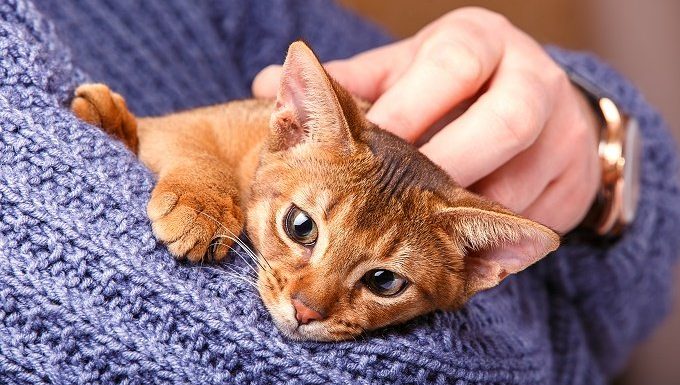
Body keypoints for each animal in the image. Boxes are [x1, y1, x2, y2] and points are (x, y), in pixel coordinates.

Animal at [69, 41, 560, 340]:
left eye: (385, 281)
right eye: (300, 226)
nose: (305, 312)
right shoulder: (191, 125)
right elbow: (196, 150)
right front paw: (201, 205)